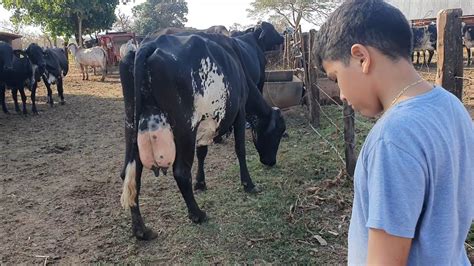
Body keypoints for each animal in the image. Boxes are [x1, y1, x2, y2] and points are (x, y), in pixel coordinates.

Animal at [119, 21, 286, 240]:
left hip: (131, 125)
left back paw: (141, 229)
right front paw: (248, 184)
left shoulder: (204, 123)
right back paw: (197, 214)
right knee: (180, 172)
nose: (270, 162)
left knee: (131, 174)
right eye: (278, 132)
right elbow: (240, 149)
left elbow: (202, 153)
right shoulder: (239, 112)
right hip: (184, 128)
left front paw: (200, 182)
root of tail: (148, 45)